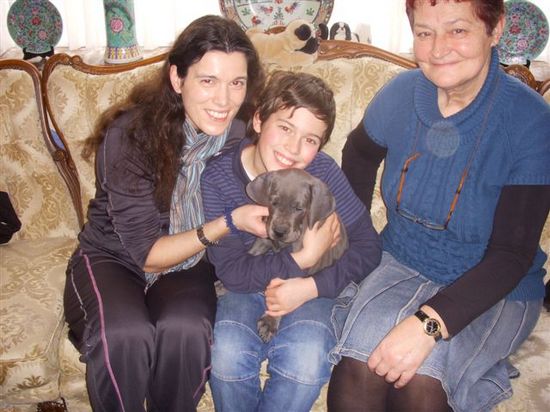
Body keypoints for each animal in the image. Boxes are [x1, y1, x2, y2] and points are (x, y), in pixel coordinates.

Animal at [246, 168, 349, 342]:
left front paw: (270, 321)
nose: (279, 232)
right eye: (274, 203)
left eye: (299, 209)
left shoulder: (298, 263)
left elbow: (283, 293)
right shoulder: (263, 240)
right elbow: (249, 257)